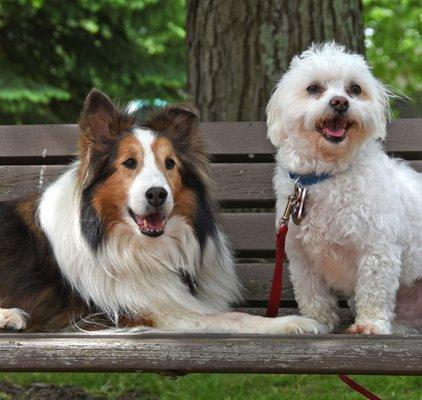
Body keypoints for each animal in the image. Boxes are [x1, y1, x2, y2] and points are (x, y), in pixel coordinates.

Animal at [0, 90, 326, 334]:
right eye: (129, 163)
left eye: (170, 164)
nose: (157, 194)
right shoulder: (147, 310)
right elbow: (232, 317)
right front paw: (292, 322)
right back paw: (10, 316)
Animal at [268, 43, 422, 334]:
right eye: (313, 88)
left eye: (355, 89)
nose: (340, 102)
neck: (326, 175)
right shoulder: (301, 255)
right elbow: (311, 292)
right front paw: (317, 321)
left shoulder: (378, 248)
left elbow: (374, 290)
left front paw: (370, 325)